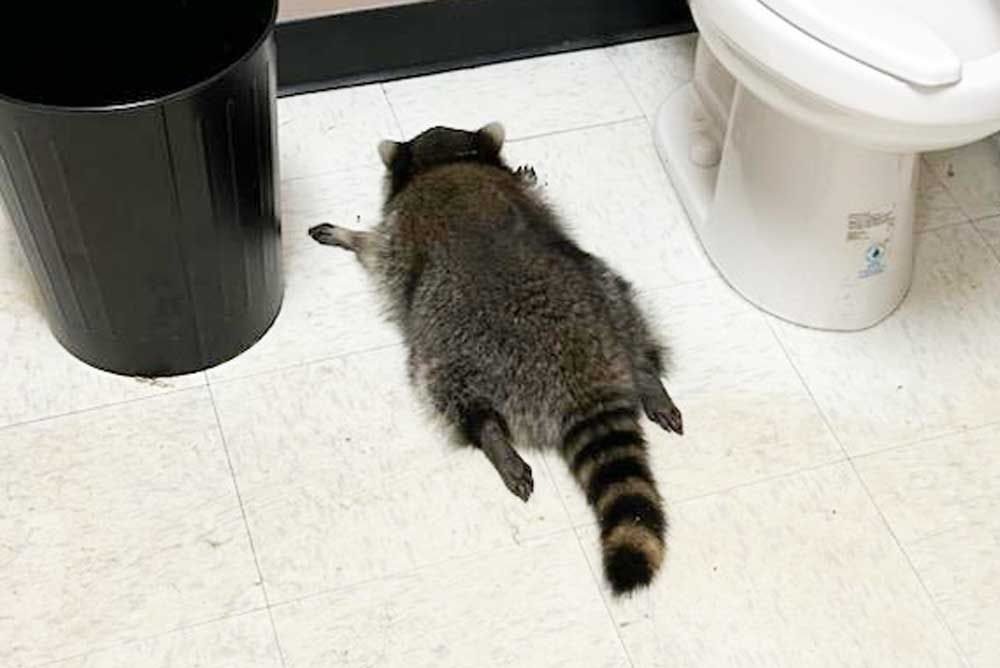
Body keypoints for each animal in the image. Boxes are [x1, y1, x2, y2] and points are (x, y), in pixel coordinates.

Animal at [308, 123, 683, 595]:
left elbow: (376, 249)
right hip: (607, 292)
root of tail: (584, 376)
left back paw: (490, 435)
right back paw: (647, 375)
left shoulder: (398, 234)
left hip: (455, 350)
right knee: (626, 310)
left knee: (447, 390)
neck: (447, 162)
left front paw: (349, 235)